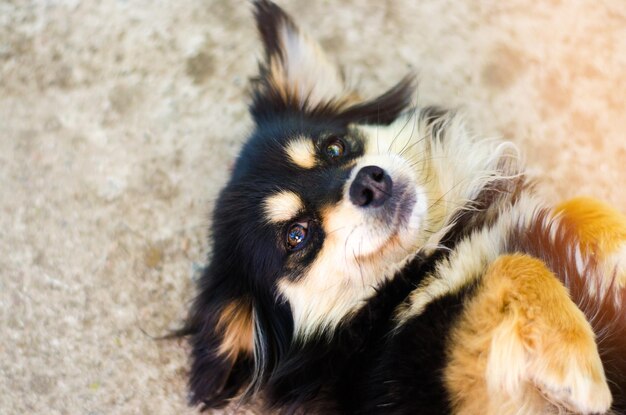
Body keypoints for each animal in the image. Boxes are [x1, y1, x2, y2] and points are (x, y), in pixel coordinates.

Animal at [177, 1, 624, 414]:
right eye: (296, 235)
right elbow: (515, 263)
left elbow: (577, 206)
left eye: (334, 147)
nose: (368, 182)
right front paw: (576, 364)